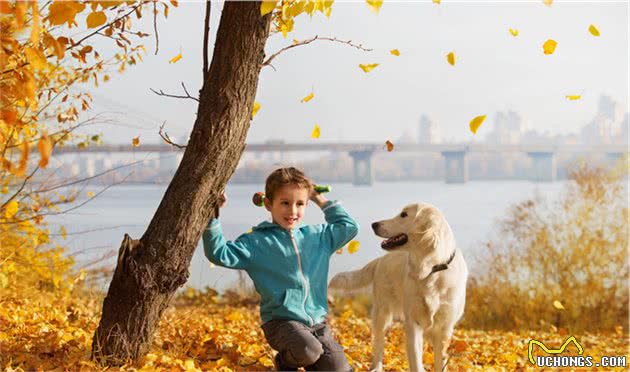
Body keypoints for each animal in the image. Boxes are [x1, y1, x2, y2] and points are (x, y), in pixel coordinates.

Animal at [330, 203, 470, 372]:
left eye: (404, 215)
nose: (374, 224)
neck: (431, 269)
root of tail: (380, 259)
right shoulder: (412, 323)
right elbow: (416, 361)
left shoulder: (444, 329)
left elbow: (439, 363)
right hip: (382, 312)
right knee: (378, 343)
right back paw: (376, 367)